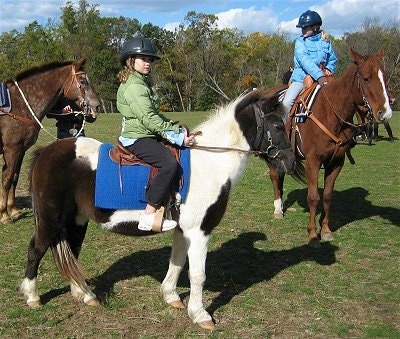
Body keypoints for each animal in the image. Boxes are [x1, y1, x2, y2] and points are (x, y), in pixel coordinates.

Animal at [0, 59, 99, 224]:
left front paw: (13, 211)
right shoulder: (11, 150)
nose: (97, 105)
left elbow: (15, 177)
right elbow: (7, 179)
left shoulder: (21, 150)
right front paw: (4, 215)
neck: (19, 106)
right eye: (82, 81)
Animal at [19, 89, 300, 330]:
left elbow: (177, 263)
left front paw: (171, 297)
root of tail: (46, 152)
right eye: (277, 126)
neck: (210, 162)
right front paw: (200, 315)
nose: (290, 162)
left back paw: (85, 294)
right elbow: (198, 274)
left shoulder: (184, 230)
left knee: (71, 253)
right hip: (51, 220)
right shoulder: (199, 231)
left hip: (76, 220)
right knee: (36, 250)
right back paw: (33, 297)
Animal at [266, 47, 390, 248]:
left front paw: (325, 231)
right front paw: (312, 235)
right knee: (275, 176)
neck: (331, 113)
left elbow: (327, 196)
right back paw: (278, 209)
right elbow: (313, 197)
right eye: (365, 78)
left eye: (384, 77)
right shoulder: (313, 161)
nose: (385, 112)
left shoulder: (336, 162)